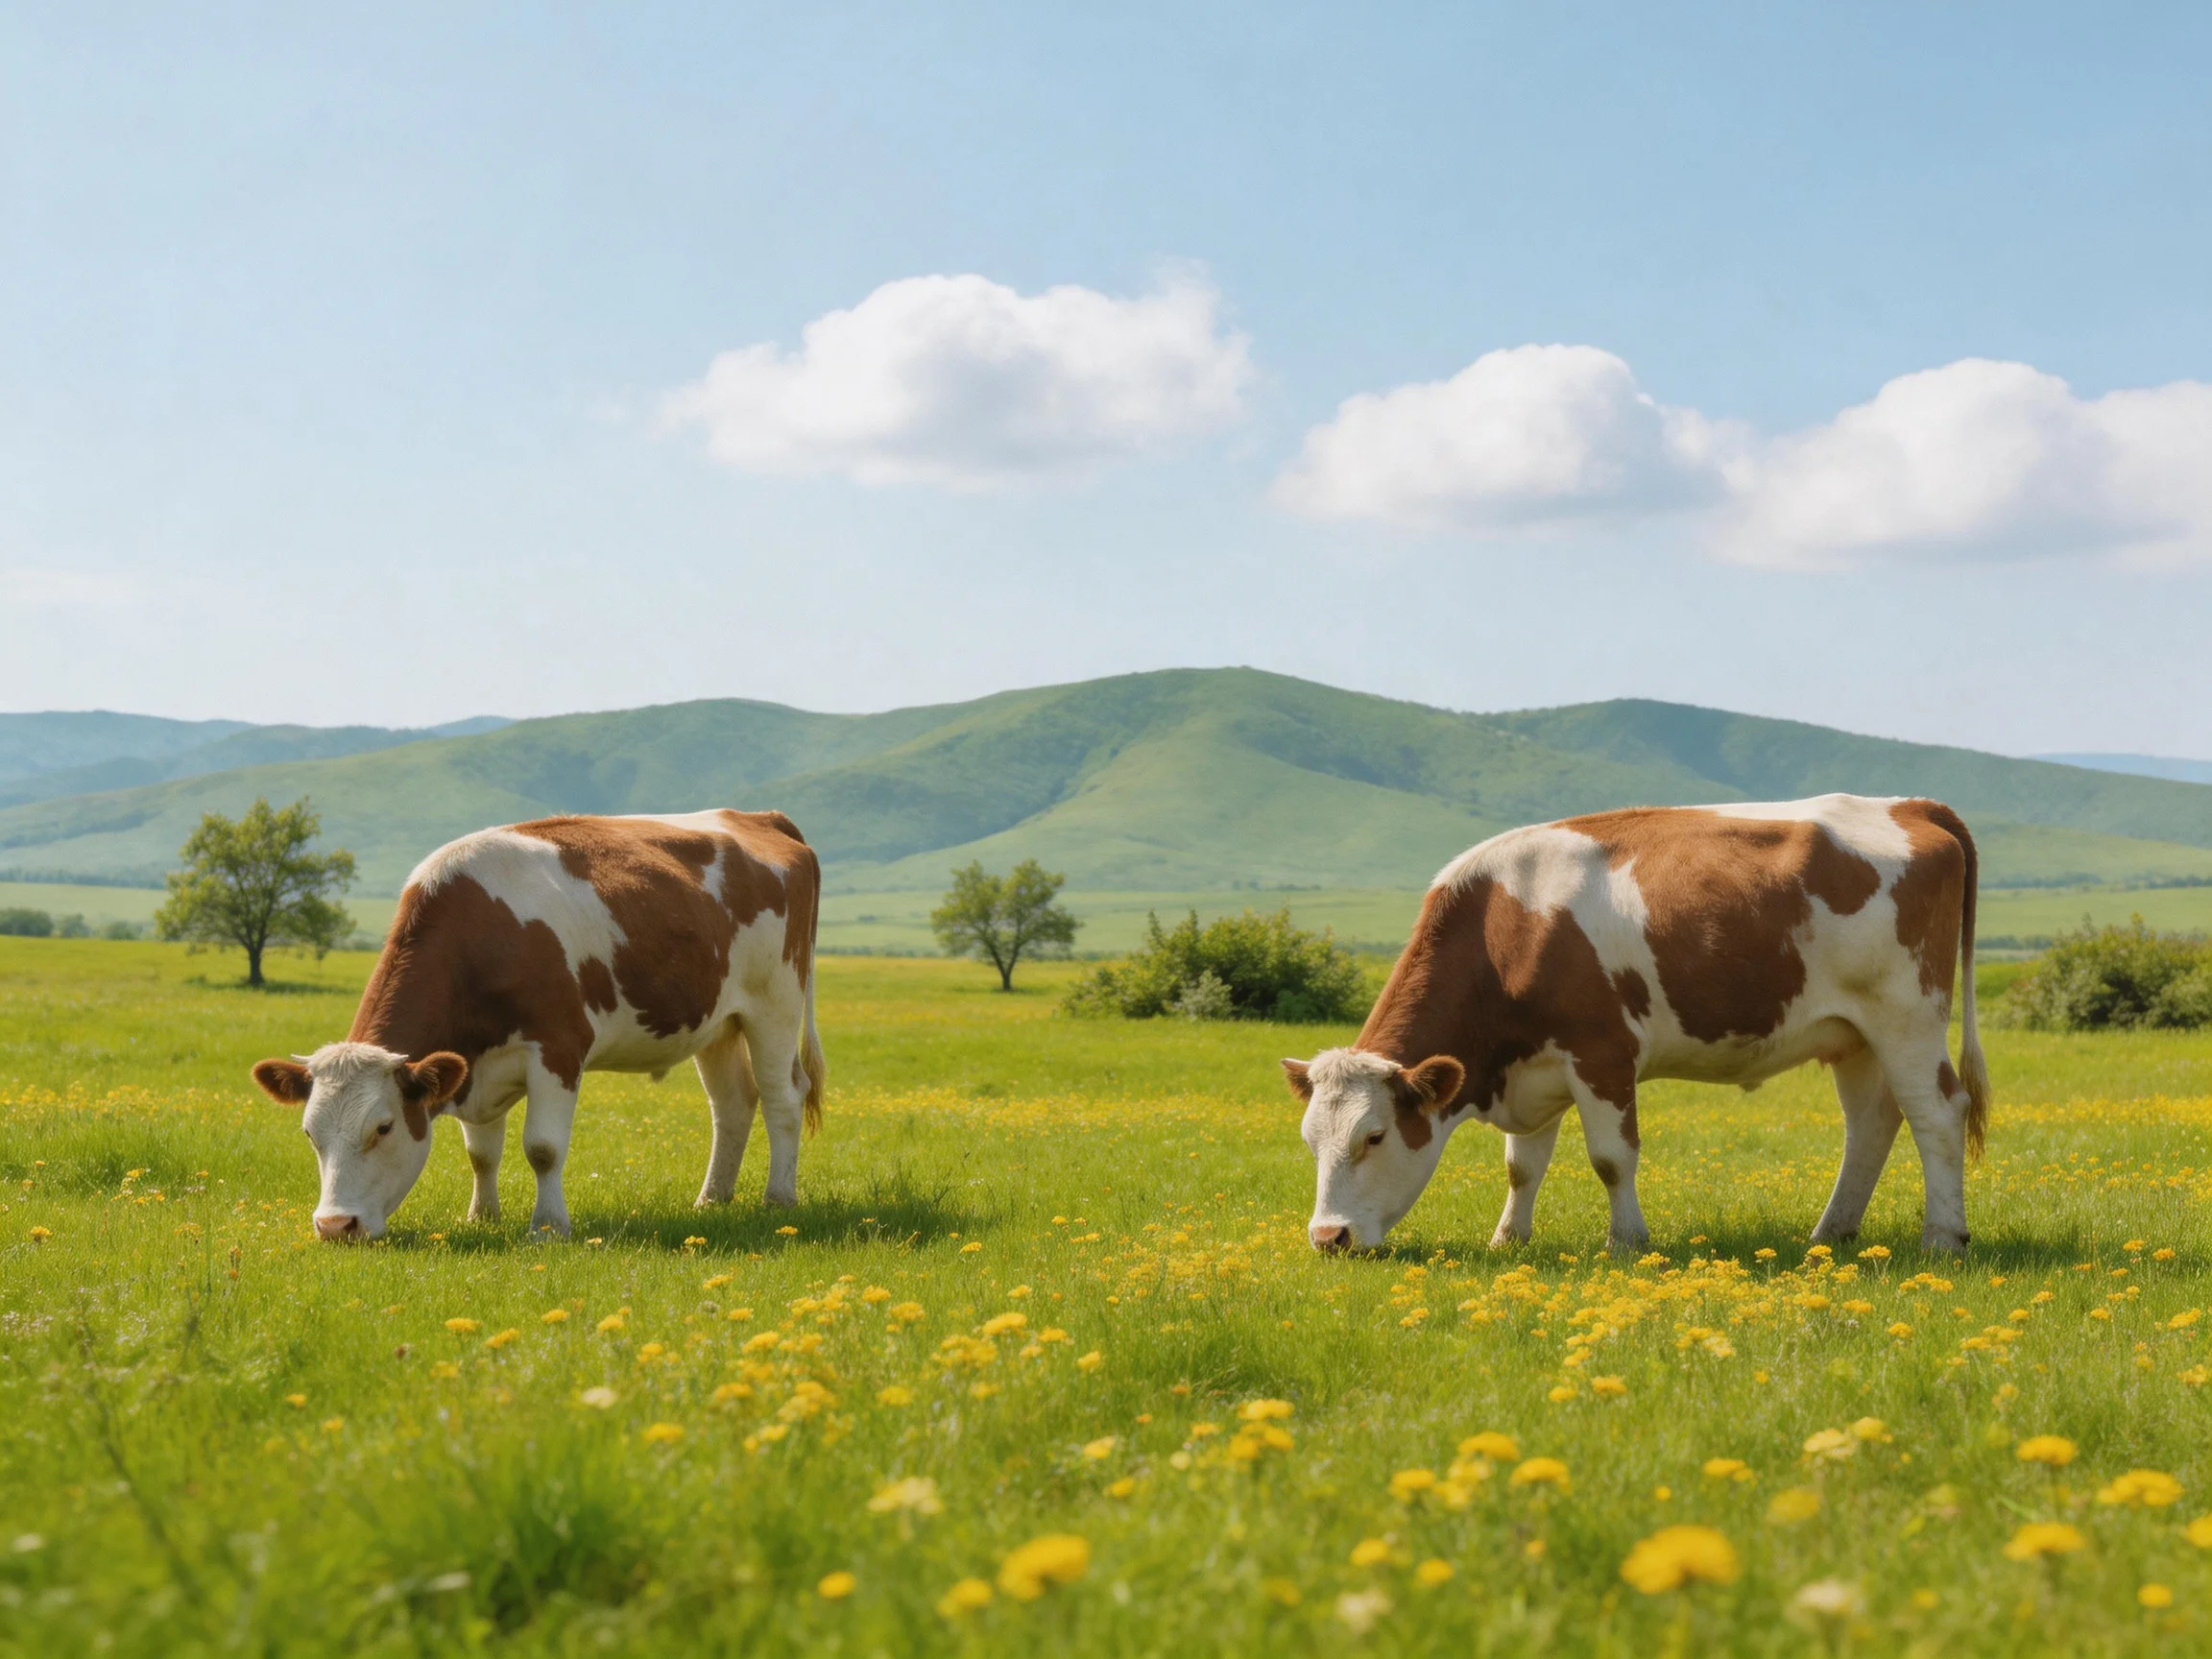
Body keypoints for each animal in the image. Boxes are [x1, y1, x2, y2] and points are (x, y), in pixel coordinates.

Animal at [250, 810, 824, 1241]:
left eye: (384, 1127)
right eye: (310, 1133)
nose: (334, 1226)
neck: (479, 938)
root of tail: (757, 818)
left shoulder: (558, 1049)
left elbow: (543, 1148)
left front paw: (548, 1227)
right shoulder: (471, 1064)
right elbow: (481, 1154)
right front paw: (482, 1216)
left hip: (775, 1005)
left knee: (783, 1097)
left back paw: (778, 1199)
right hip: (719, 1023)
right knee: (732, 1104)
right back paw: (712, 1200)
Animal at [1283, 795, 1989, 1256]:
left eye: (1374, 1136)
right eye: (1310, 1140)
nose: (1328, 1237)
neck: (1508, 929)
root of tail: (1909, 805)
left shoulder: (1601, 1054)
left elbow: (1611, 1157)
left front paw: (1624, 1241)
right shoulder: (1534, 1070)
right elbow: (1523, 1166)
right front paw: (1508, 1238)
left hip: (1906, 1014)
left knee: (1938, 1113)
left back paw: (1942, 1238)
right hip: (1854, 1034)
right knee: (1872, 1122)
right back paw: (1831, 1233)